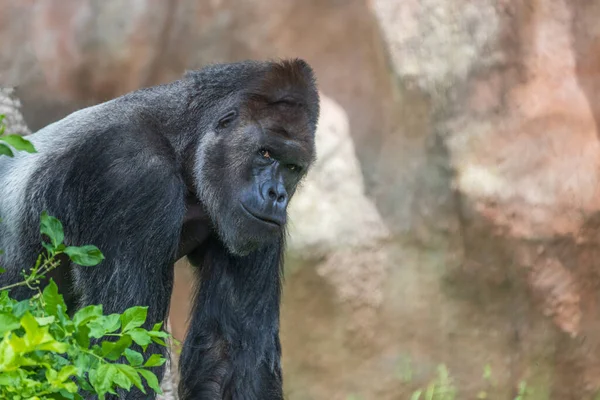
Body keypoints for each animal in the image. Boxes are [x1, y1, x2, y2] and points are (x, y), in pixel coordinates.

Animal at [0, 59, 318, 400]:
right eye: (265, 153)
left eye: (293, 168)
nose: (277, 195)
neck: (180, 140)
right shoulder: (133, 177)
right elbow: (116, 357)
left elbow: (230, 353)